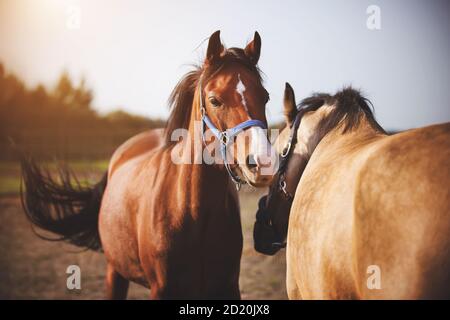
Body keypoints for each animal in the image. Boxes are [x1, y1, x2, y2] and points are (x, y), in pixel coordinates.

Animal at [22, 30, 274, 300]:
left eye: (265, 97)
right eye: (215, 100)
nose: (263, 162)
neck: (190, 211)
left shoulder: (227, 289)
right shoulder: (162, 290)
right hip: (115, 271)